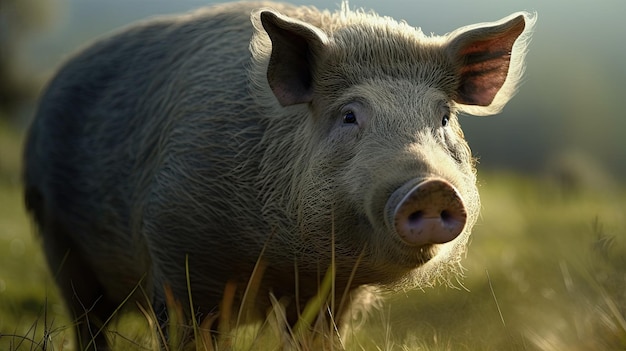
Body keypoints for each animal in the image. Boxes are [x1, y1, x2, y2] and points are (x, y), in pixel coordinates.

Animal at [22, 0, 532, 350]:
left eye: (443, 116)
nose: (431, 187)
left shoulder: (332, 296)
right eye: (349, 116)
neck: (285, 257)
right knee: (88, 321)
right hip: (56, 236)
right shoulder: (177, 254)